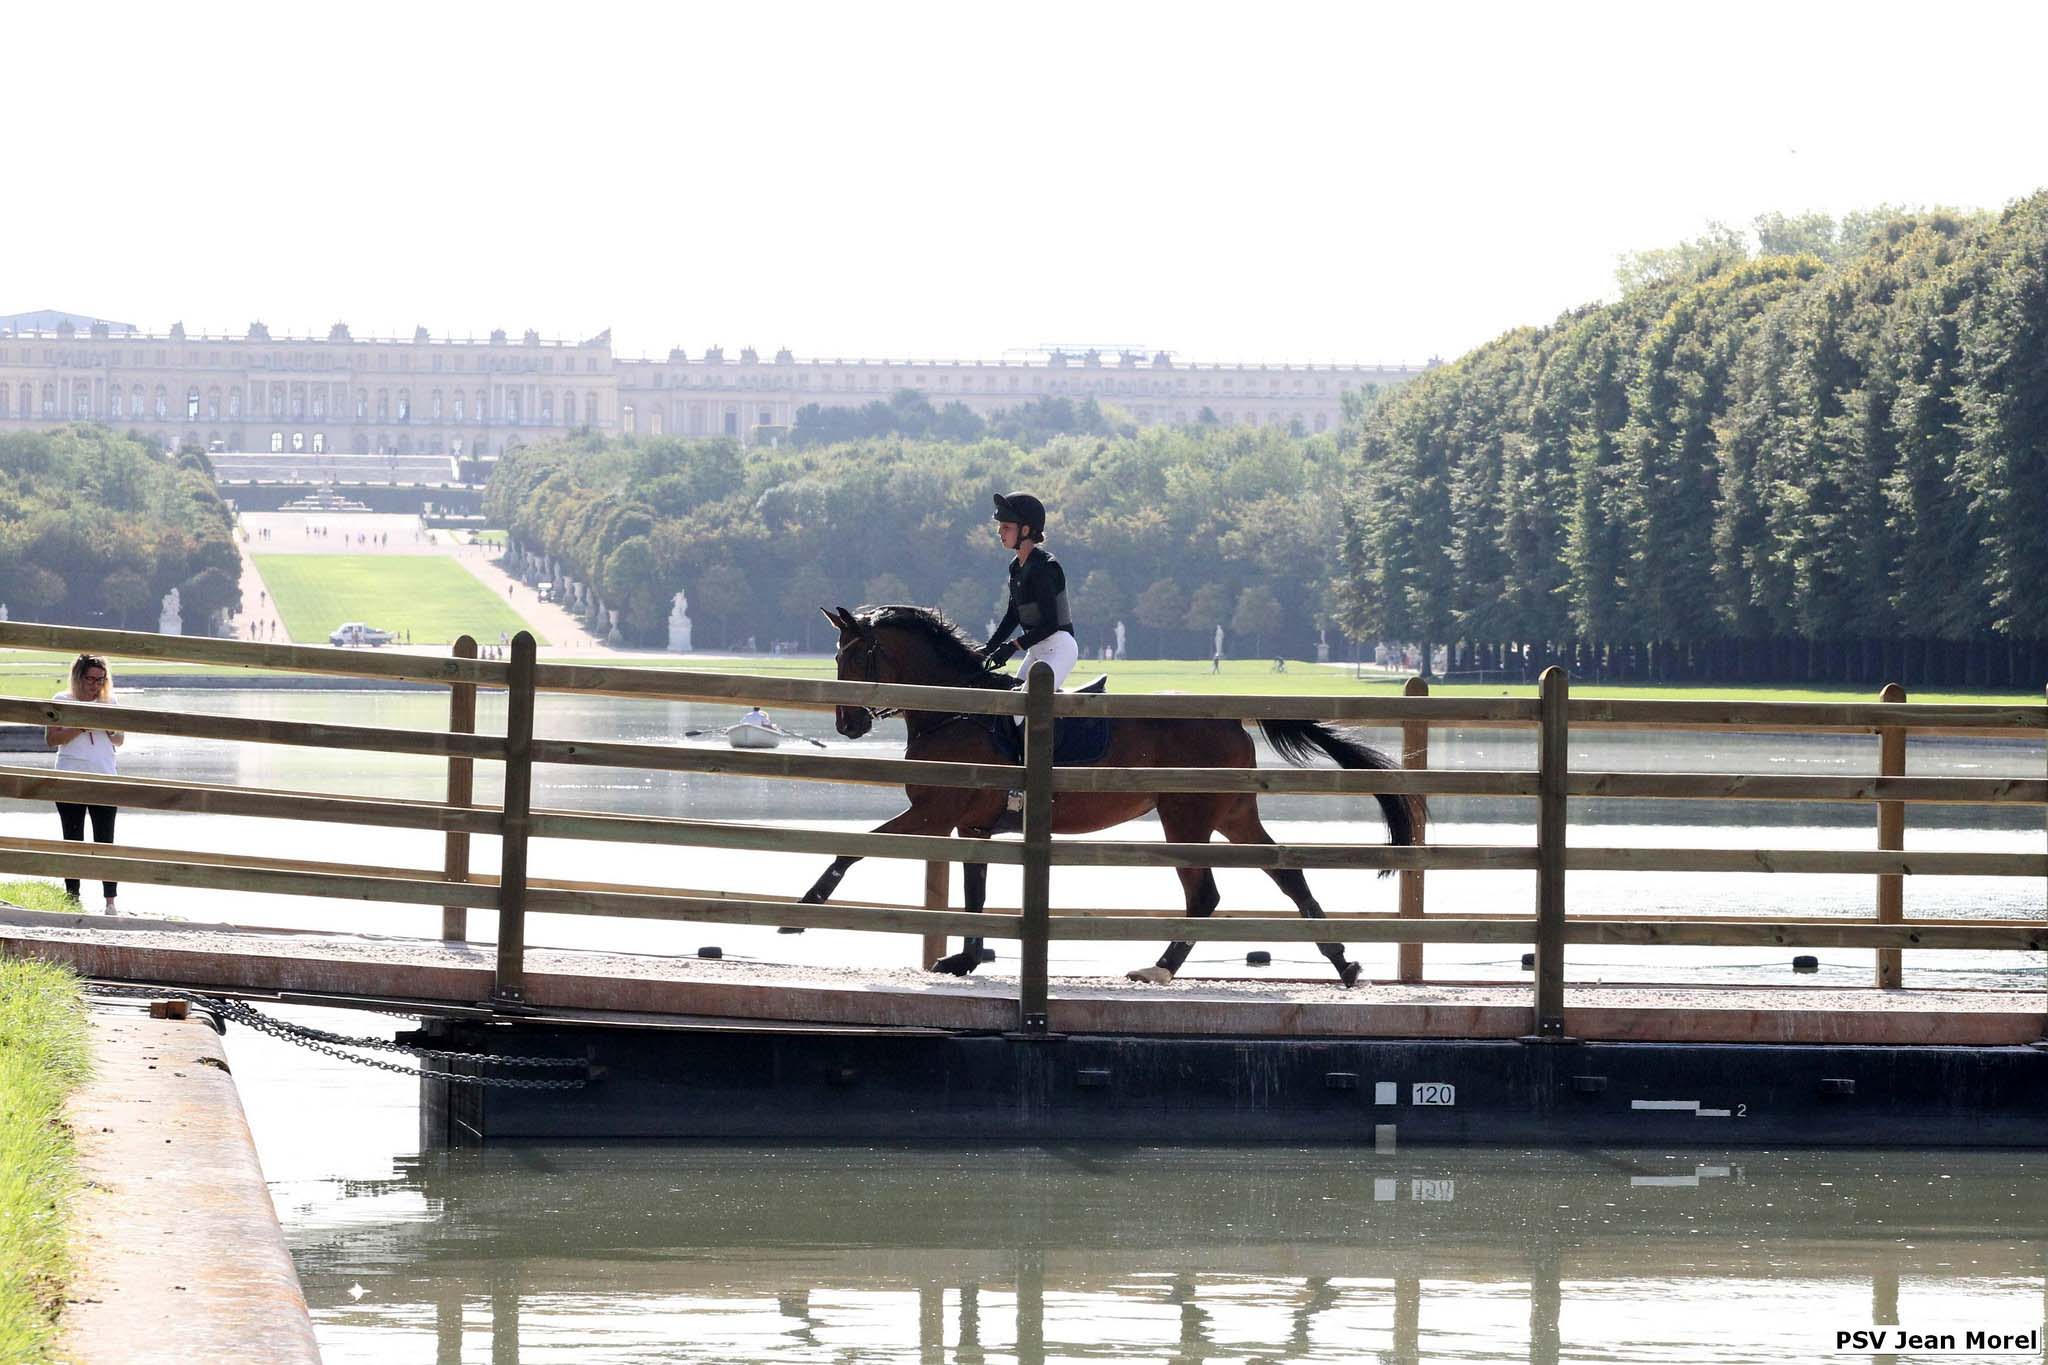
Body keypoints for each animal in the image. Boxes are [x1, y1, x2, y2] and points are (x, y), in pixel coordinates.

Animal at [798, 601, 1425, 986]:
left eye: (857, 657)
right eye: (837, 657)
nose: (847, 725)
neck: (956, 710)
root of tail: (1225, 715)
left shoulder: (932, 814)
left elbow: (854, 848)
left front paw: (806, 906)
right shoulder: (970, 825)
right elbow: (975, 894)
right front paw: (966, 958)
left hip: (1186, 818)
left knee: (1206, 894)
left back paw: (1160, 969)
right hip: (1231, 814)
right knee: (1284, 872)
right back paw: (1343, 963)